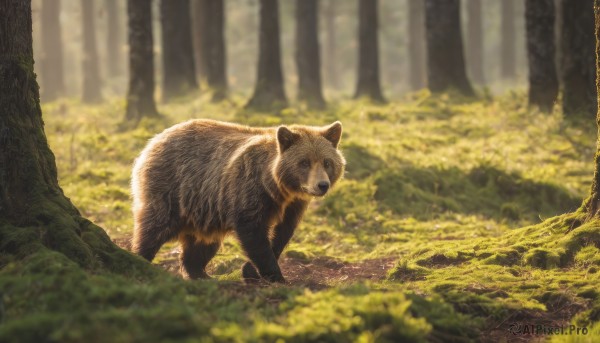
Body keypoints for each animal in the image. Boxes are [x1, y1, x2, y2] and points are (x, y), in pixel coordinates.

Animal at [133, 119, 344, 284]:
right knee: (154, 227)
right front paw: (274, 275)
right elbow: (253, 232)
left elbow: (282, 233)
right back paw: (141, 259)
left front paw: (250, 270)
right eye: (304, 162)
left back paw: (201, 273)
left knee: (203, 243)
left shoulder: (293, 205)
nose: (322, 185)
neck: (279, 189)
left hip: (204, 209)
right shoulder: (249, 191)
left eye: (327, 162)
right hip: (172, 188)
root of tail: (156, 139)